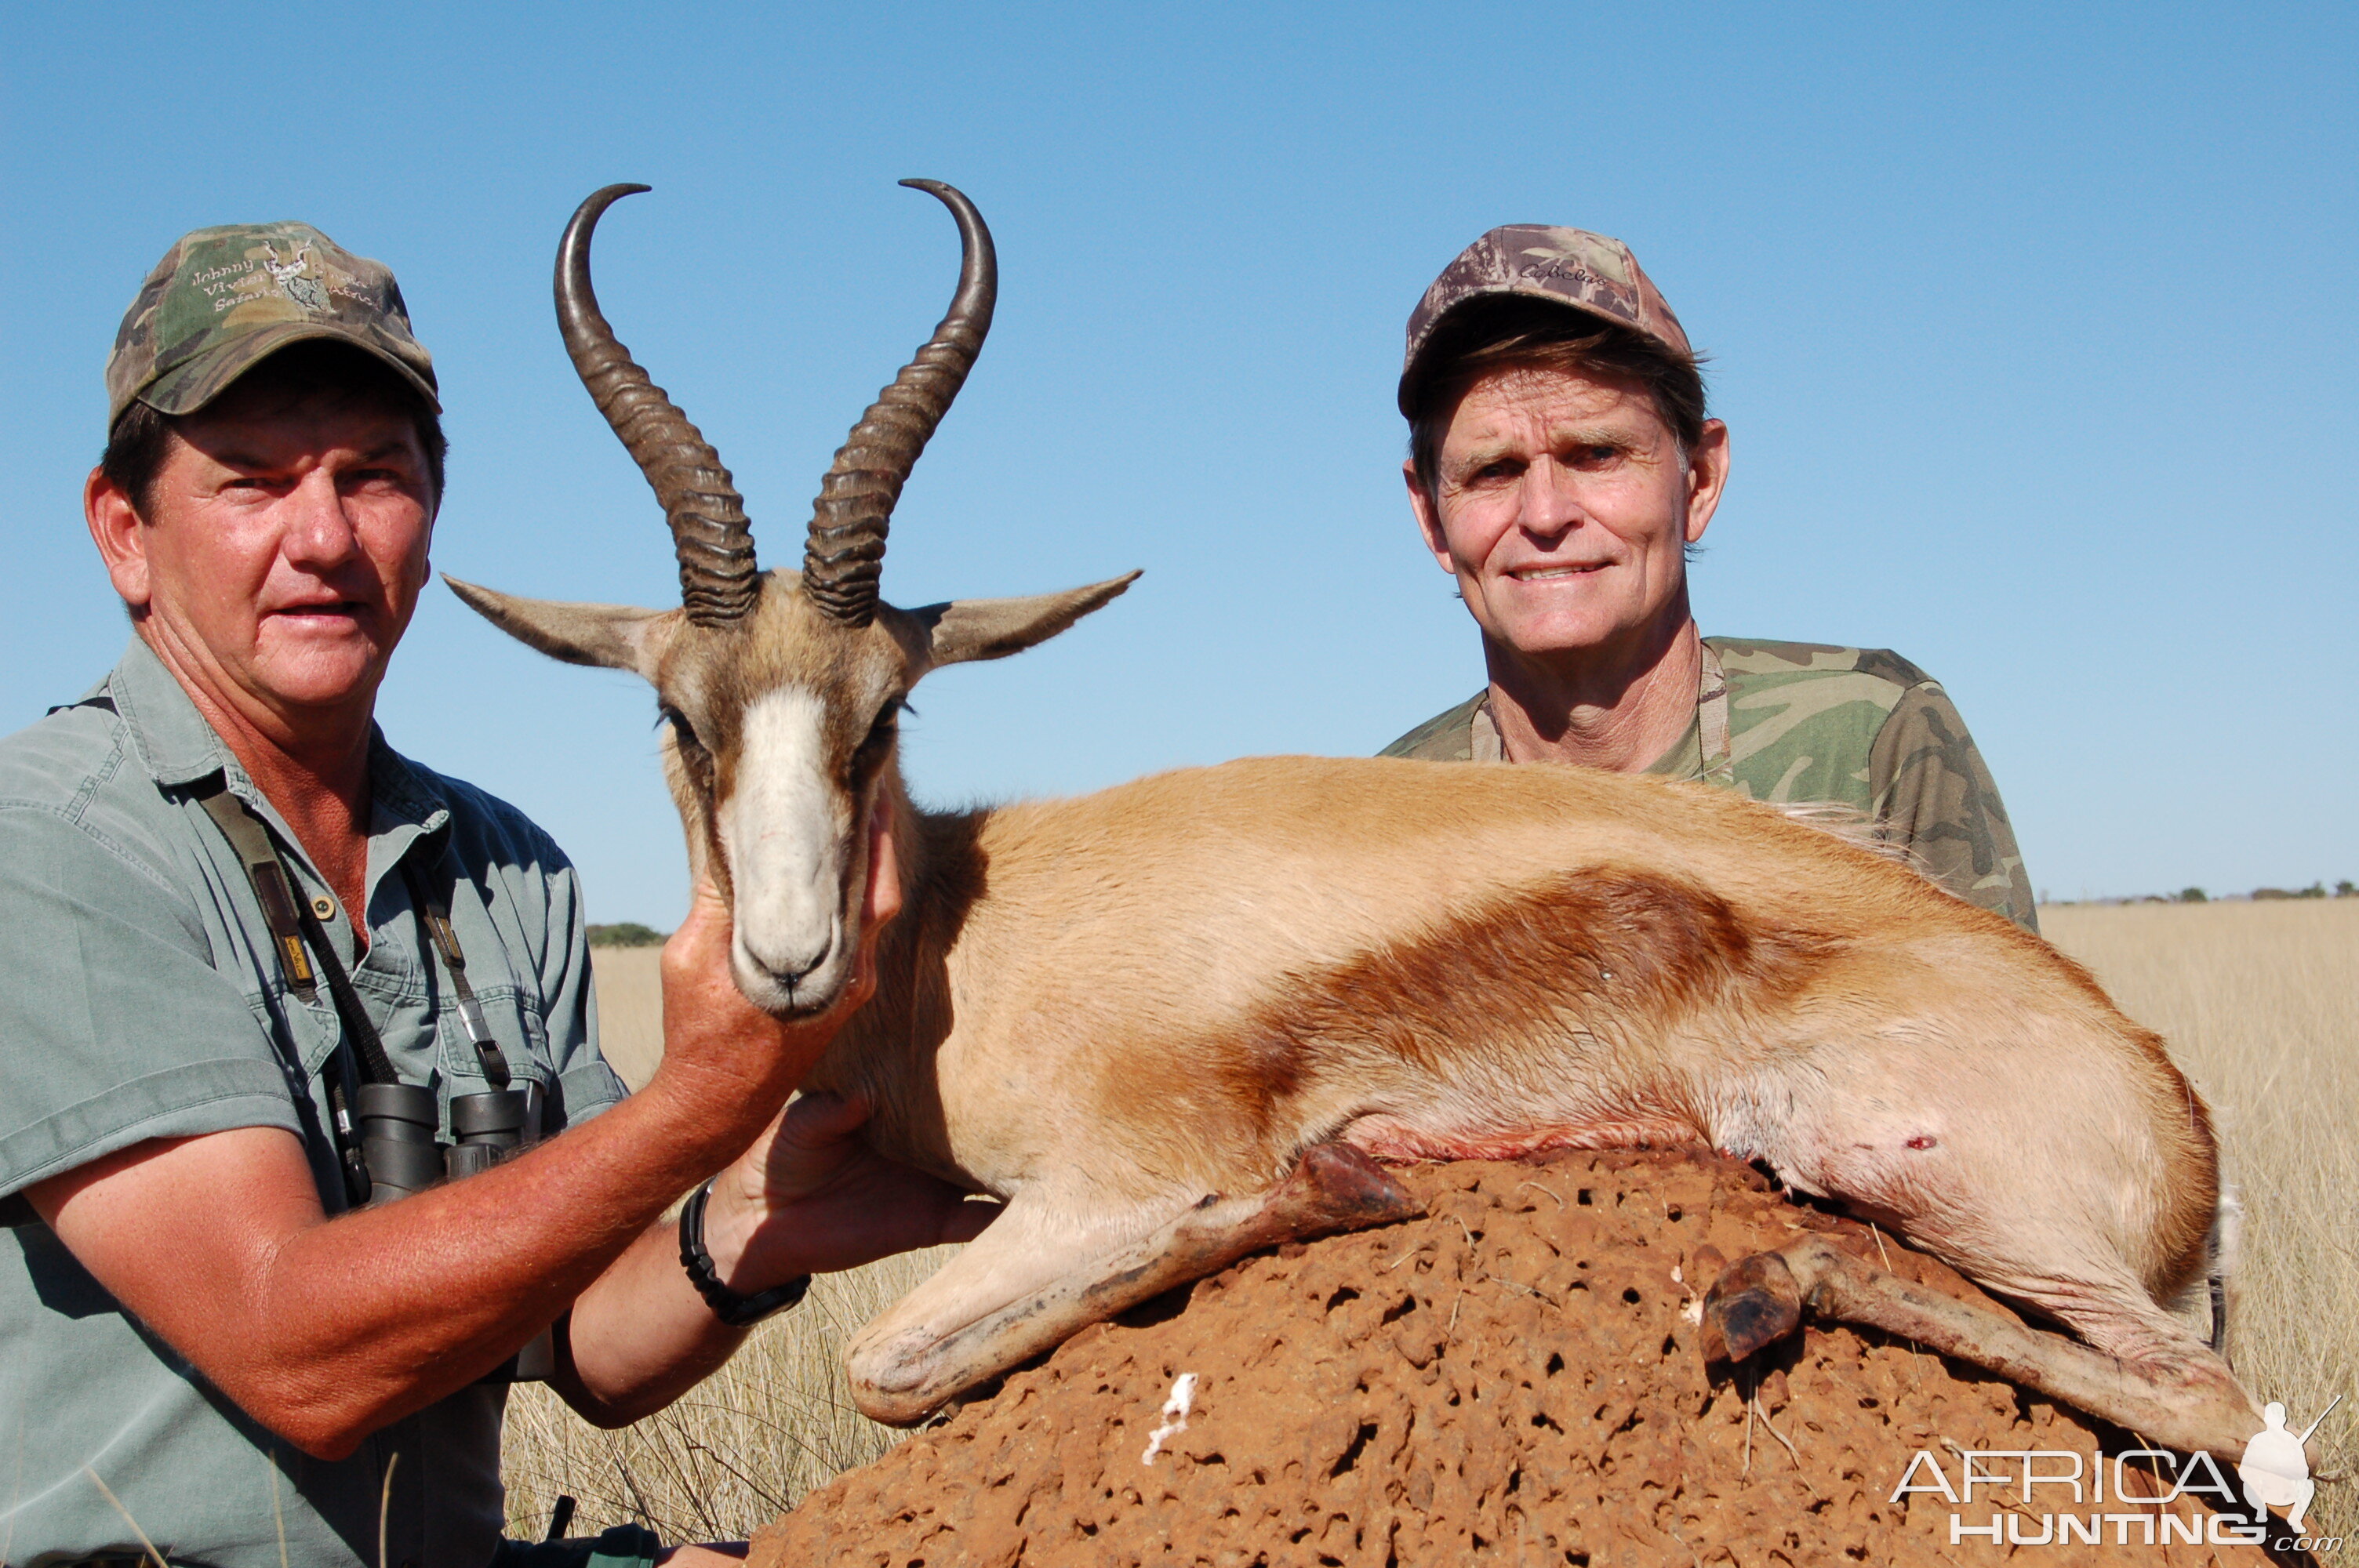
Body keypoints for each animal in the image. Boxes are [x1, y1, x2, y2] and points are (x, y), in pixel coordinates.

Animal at [445, 186, 2264, 1471]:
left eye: (884, 711)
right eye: (681, 719)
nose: (785, 957)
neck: (972, 935)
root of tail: (2178, 1122)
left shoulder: (1109, 1182)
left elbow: (880, 1365)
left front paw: (1325, 1187)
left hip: (1899, 1165)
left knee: (2215, 1406)